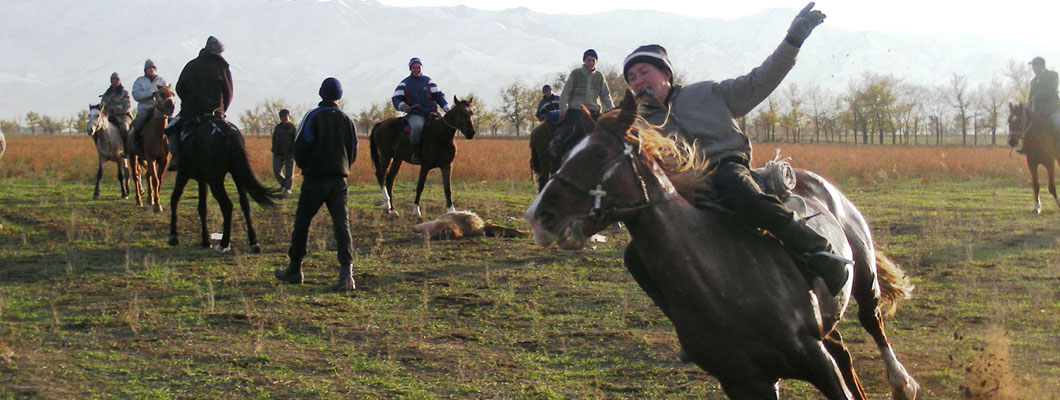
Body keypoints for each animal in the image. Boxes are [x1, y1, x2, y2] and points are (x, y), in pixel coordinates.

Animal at [166, 115, 279, 252]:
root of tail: (226, 132)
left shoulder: (183, 173)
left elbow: (174, 198)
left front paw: (173, 236)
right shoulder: (202, 180)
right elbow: (202, 208)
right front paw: (205, 241)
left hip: (215, 181)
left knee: (227, 205)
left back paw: (224, 244)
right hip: (236, 175)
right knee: (244, 203)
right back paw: (253, 242)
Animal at [525, 91, 915, 398]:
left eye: (598, 154)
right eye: (567, 152)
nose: (538, 216)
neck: (722, 284)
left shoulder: (816, 361)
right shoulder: (745, 383)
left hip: (864, 275)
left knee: (872, 319)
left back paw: (903, 383)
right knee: (845, 351)